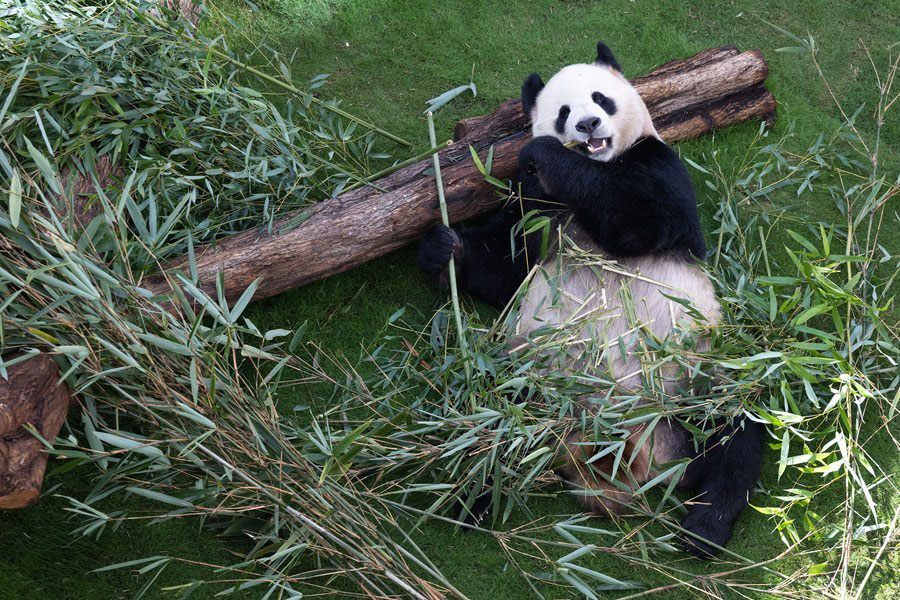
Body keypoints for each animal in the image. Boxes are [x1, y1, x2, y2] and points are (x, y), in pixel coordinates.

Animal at [418, 42, 764, 557]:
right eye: (563, 111)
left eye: (601, 98)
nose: (587, 124)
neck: (596, 165)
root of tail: (623, 458)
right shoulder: (532, 204)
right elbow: (505, 261)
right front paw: (444, 249)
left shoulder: (659, 166)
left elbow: (639, 217)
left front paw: (544, 154)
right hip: (527, 380)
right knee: (493, 424)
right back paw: (472, 495)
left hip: (697, 376)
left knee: (736, 429)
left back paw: (706, 527)